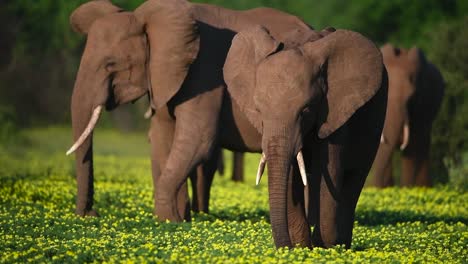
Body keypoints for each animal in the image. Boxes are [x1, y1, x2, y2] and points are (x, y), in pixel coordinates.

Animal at [223, 25, 388, 249]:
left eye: (305, 111)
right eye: (259, 112)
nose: (283, 247)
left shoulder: (334, 108)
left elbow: (330, 168)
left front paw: (325, 247)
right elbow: (292, 173)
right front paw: (302, 247)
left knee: (355, 177)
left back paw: (341, 244)